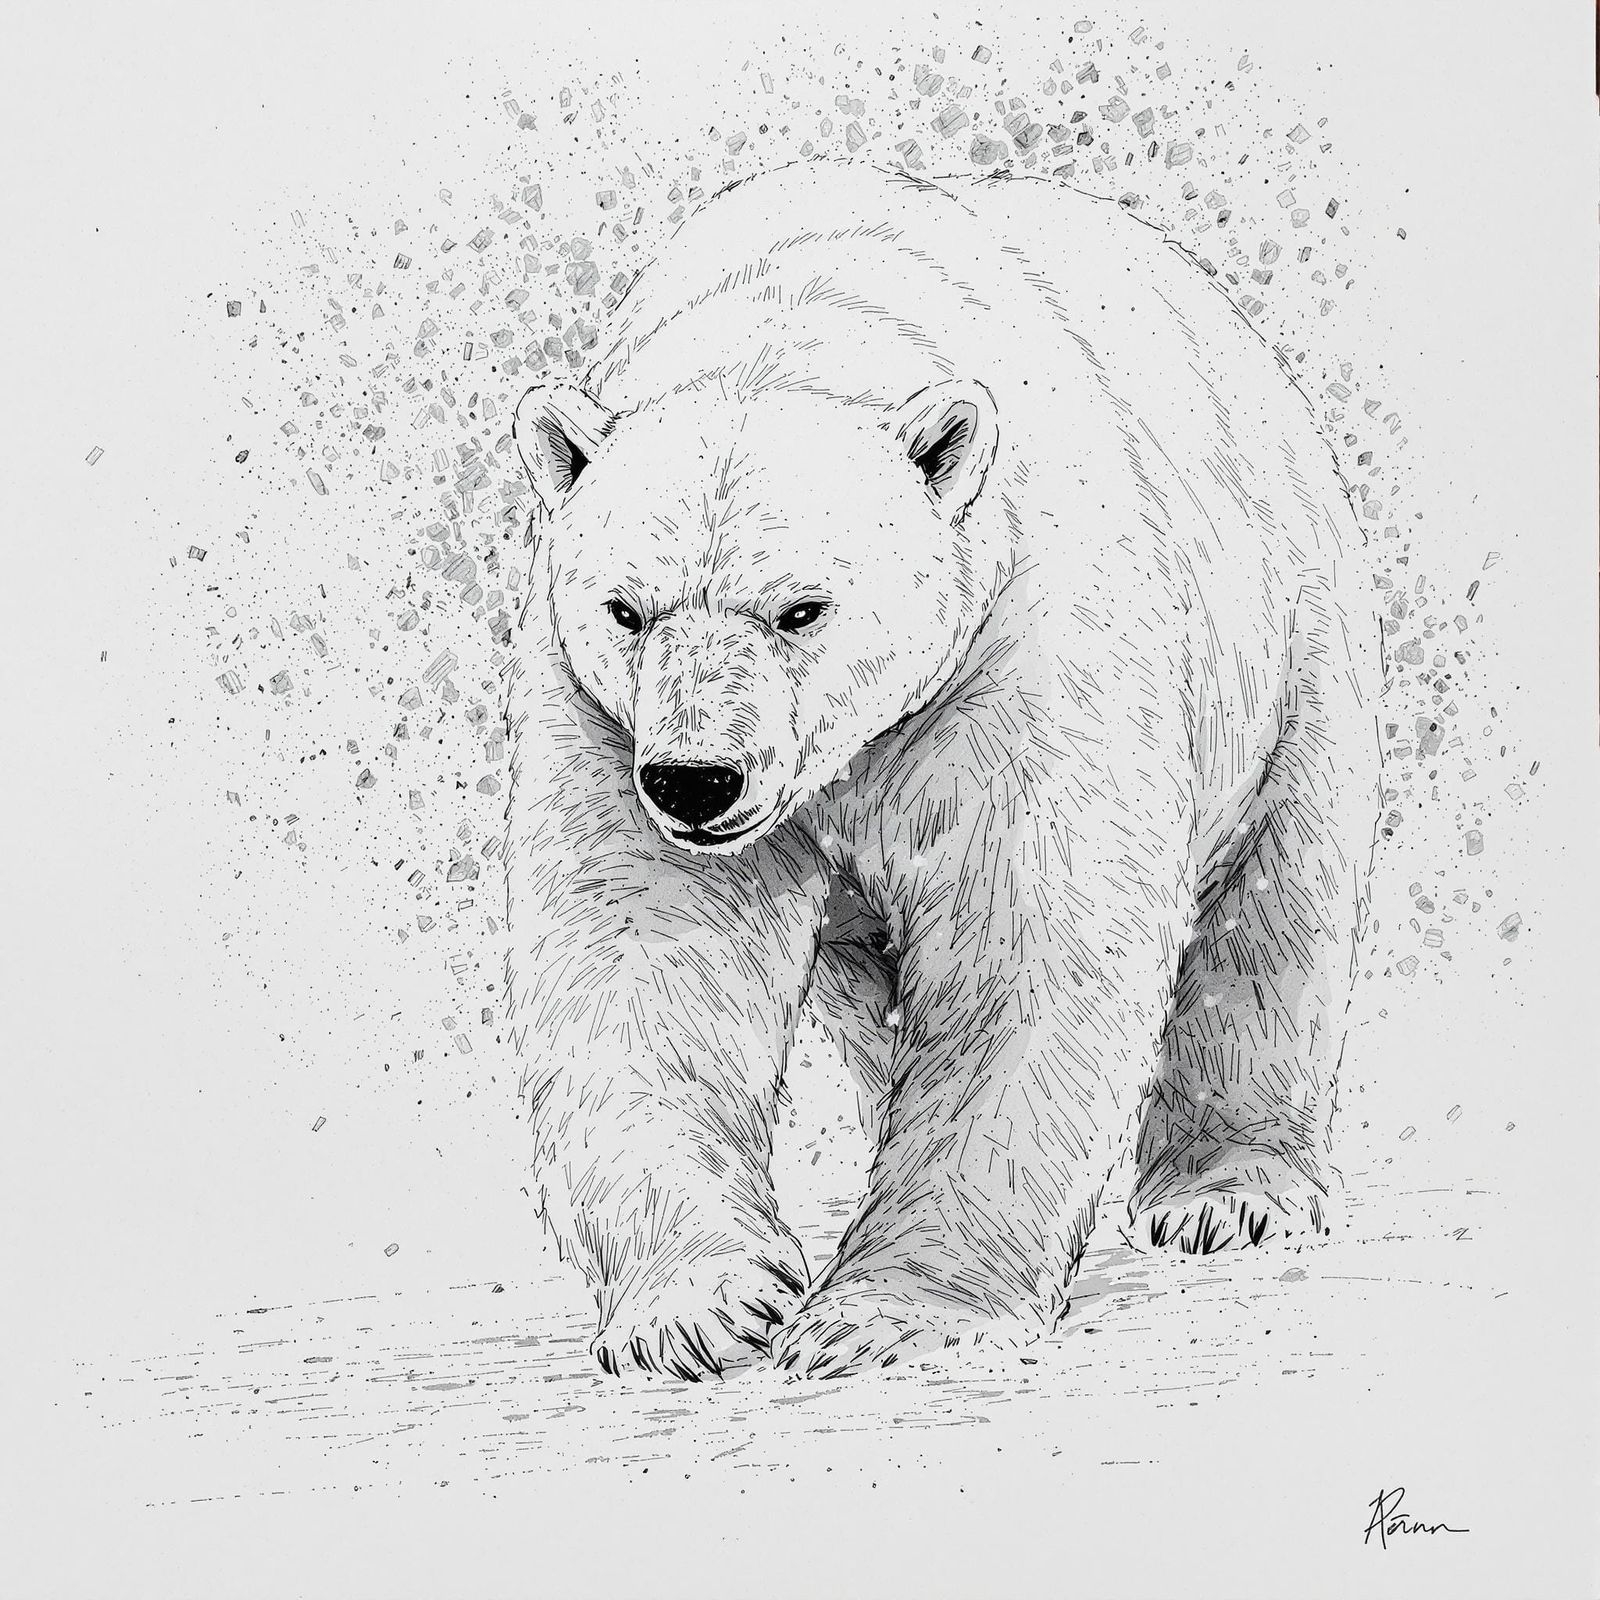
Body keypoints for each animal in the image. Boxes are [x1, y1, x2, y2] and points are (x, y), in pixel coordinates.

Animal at [503, 158, 1380, 1381]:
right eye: (626, 608)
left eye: (802, 608)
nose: (696, 780)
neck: (803, 316)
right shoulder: (599, 713)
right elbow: (644, 949)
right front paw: (704, 1310)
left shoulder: (1020, 633)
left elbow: (1028, 936)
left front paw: (885, 1319)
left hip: (1288, 640)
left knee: (1274, 903)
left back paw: (1229, 1192)